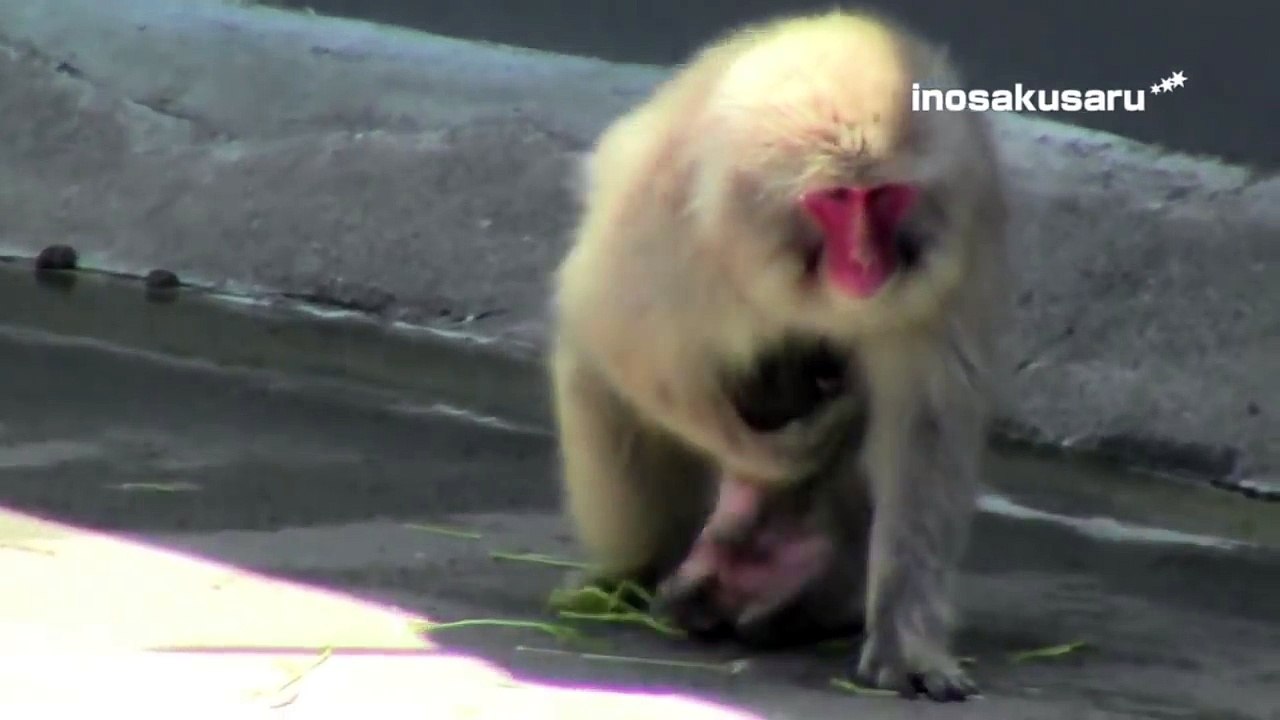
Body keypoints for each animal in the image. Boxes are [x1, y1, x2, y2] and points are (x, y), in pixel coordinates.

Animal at [548, 8, 1009, 702]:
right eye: (835, 200)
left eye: (885, 197)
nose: (866, 263)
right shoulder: (668, 226)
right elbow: (620, 339)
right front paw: (785, 455)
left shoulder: (957, 248)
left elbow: (924, 427)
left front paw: (907, 641)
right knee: (602, 371)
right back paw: (643, 572)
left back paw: (807, 594)